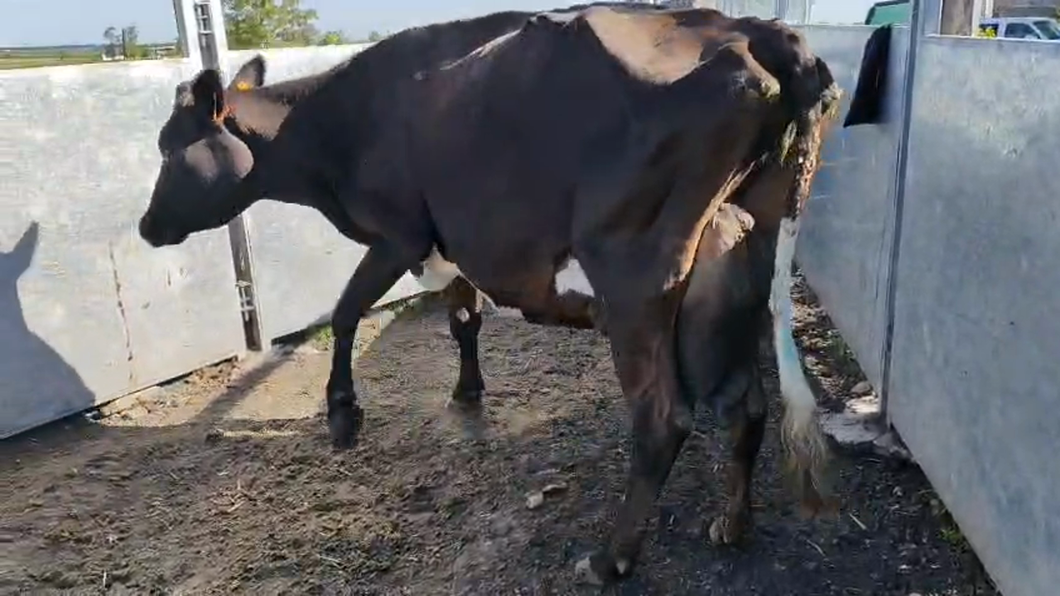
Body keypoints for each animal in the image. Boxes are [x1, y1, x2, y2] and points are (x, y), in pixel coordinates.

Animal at [136, 3, 851, 585]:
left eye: (170, 149)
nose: (146, 228)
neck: (335, 127)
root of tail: (763, 34)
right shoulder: (456, 241)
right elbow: (462, 318)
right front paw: (467, 390)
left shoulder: (399, 232)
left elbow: (344, 311)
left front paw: (342, 413)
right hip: (734, 266)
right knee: (745, 401)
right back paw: (733, 523)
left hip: (635, 274)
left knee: (663, 416)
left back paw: (612, 557)